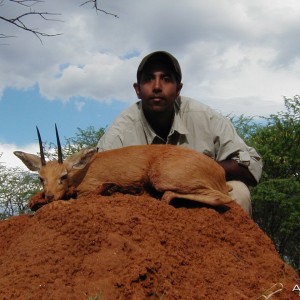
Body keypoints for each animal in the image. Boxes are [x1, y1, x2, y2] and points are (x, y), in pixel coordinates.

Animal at [14, 125, 233, 210]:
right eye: (41, 178)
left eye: (63, 176)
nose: (50, 195)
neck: (79, 175)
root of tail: (219, 173)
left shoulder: (86, 192)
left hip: (164, 179)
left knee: (222, 198)